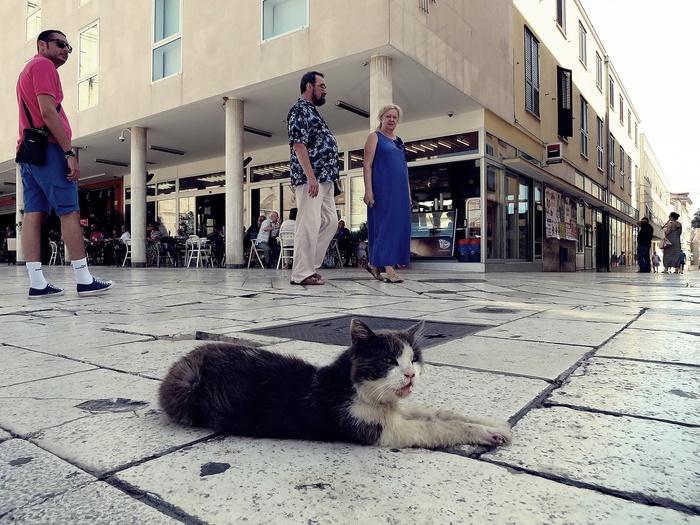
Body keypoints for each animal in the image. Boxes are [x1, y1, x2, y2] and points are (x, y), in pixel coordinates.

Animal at [159, 318, 512, 448]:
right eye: (388, 361)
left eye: (414, 360)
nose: (410, 374)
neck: (358, 390)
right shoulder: (384, 431)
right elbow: (438, 428)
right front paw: (485, 433)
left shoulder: (397, 411)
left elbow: (440, 413)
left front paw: (494, 424)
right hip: (184, 388)